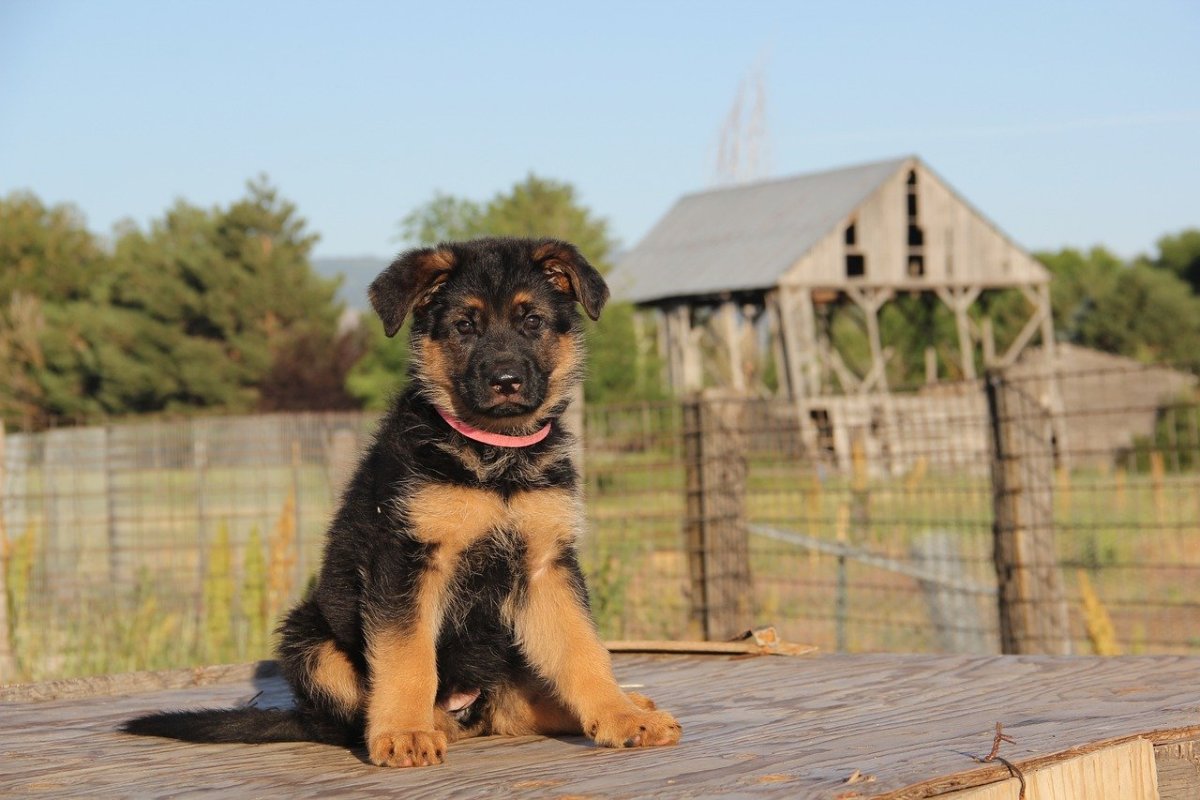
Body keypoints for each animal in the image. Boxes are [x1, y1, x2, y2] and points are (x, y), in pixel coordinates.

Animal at [127, 237, 686, 767]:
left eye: (533, 322)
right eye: (464, 326)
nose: (505, 381)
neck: (494, 456)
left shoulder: (546, 565)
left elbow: (584, 651)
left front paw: (619, 715)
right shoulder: (406, 561)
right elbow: (408, 657)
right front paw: (403, 733)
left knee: (515, 707)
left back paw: (626, 706)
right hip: (311, 639)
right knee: (358, 715)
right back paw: (419, 725)